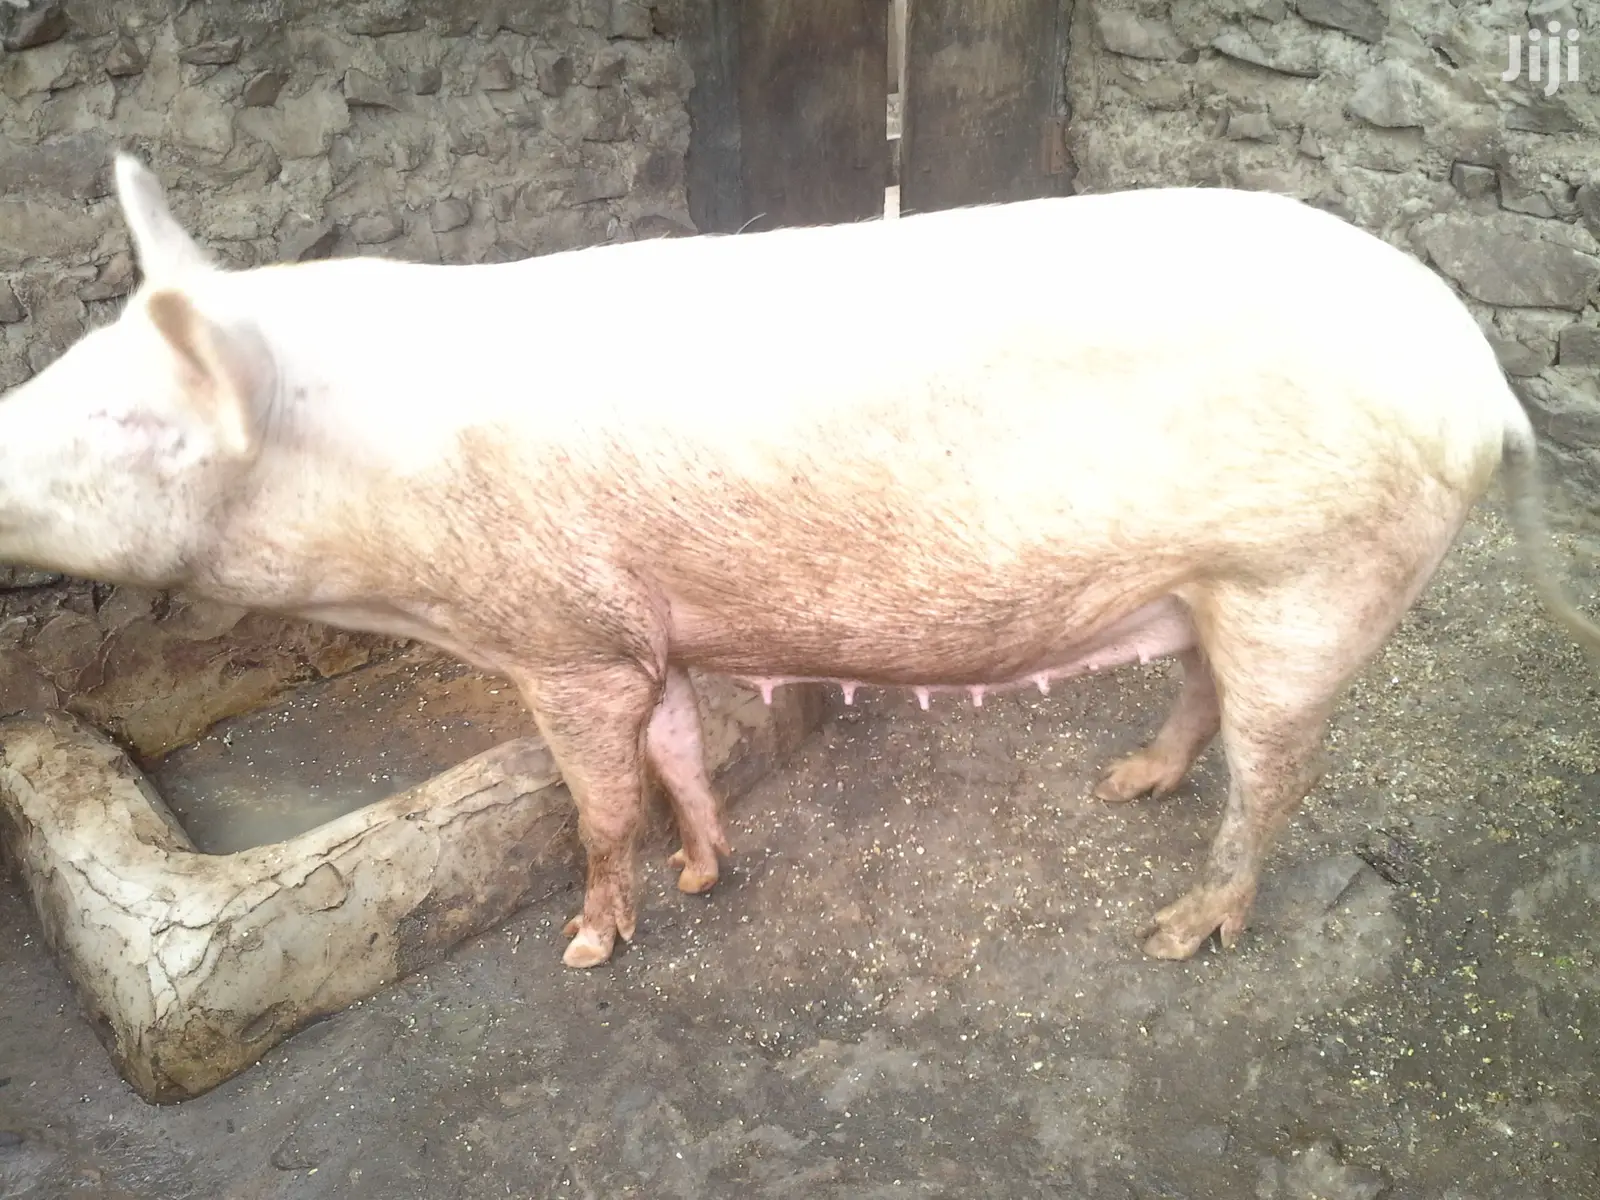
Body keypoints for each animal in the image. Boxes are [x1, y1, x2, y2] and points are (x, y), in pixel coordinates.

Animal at [2, 153, 1597, 970]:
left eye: (135, 419)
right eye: (75, 360)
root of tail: (1485, 379)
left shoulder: (563, 638)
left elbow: (596, 801)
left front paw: (589, 946)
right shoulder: (640, 630)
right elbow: (679, 753)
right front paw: (707, 875)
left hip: (1312, 580)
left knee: (1278, 774)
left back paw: (1176, 931)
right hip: (1224, 587)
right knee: (1202, 697)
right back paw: (1124, 783)